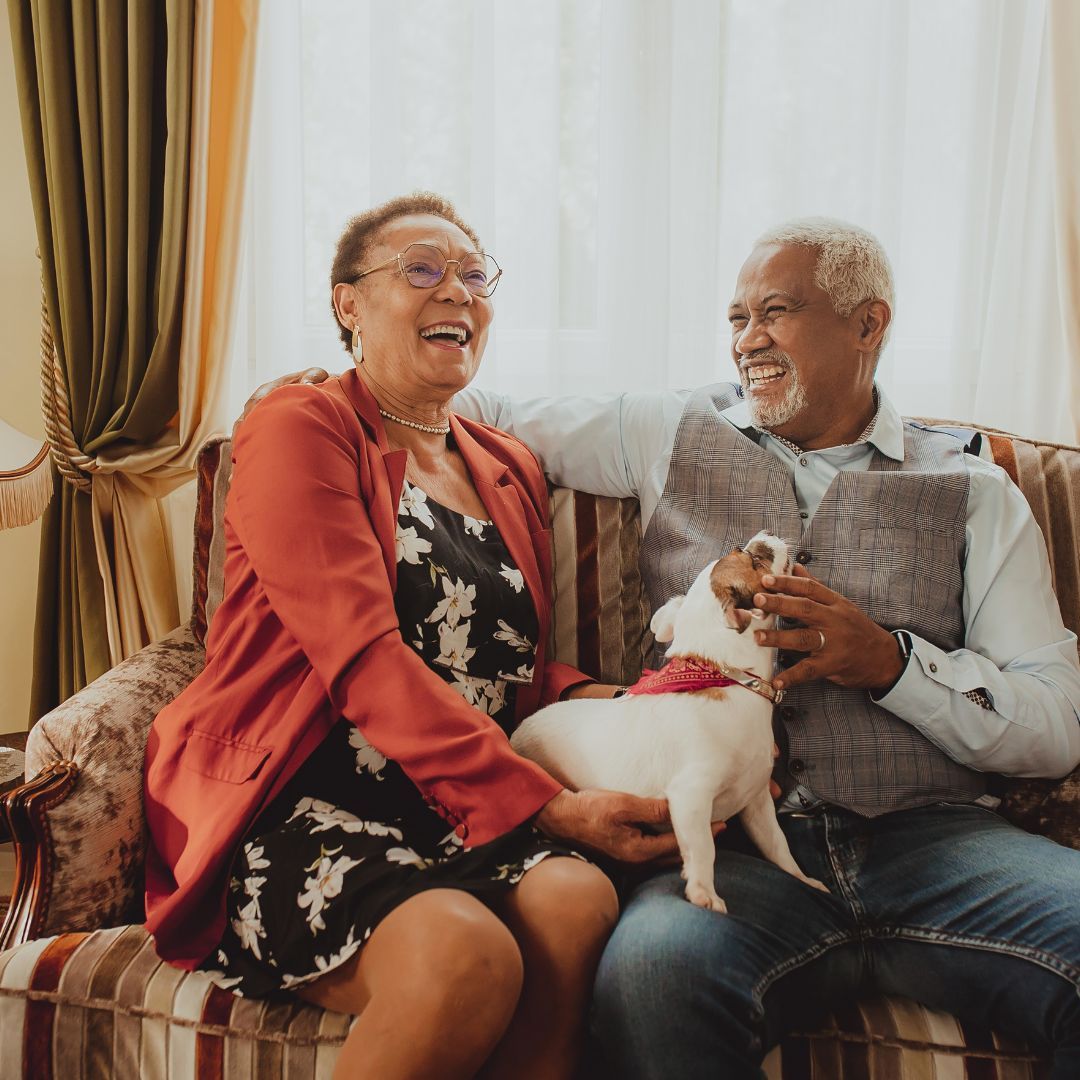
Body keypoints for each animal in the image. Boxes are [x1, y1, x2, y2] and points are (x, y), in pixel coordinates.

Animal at [514, 531, 825, 911]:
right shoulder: (691, 795)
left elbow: (778, 846)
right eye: (754, 559)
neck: (724, 676)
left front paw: (803, 880)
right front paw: (703, 892)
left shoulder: (756, 802)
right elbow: (704, 849)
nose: (762, 535)